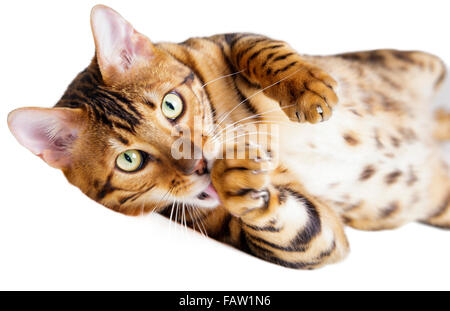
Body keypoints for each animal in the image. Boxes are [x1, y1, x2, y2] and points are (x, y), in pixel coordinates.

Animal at [7, 4, 450, 270]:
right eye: (130, 160)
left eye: (171, 105)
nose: (201, 163)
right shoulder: (309, 238)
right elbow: (286, 225)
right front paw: (238, 175)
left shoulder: (220, 41)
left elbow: (261, 49)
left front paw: (310, 90)